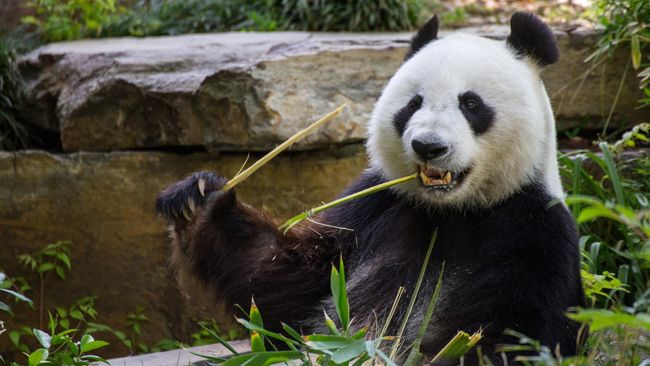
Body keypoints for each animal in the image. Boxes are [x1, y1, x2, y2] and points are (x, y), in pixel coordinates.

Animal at [156, 11, 584, 364]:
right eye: (413, 104)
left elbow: (509, 336)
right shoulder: (374, 207)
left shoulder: (532, 231)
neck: (450, 211)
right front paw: (198, 200)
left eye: (471, 103)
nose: (429, 146)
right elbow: (286, 290)